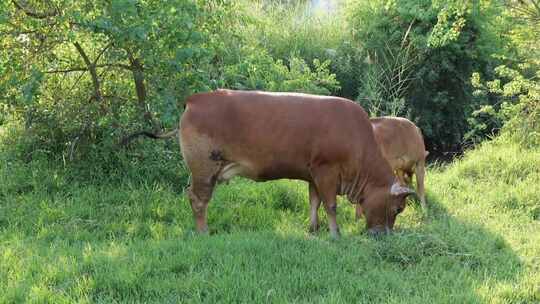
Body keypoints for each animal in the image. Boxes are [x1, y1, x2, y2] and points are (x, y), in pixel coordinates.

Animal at [178, 89, 414, 236]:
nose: (384, 235)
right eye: (398, 209)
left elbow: (314, 202)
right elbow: (330, 205)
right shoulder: (326, 171)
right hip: (204, 168)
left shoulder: (314, 174)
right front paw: (335, 233)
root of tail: (197, 98)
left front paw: (314, 228)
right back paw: (203, 231)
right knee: (198, 199)